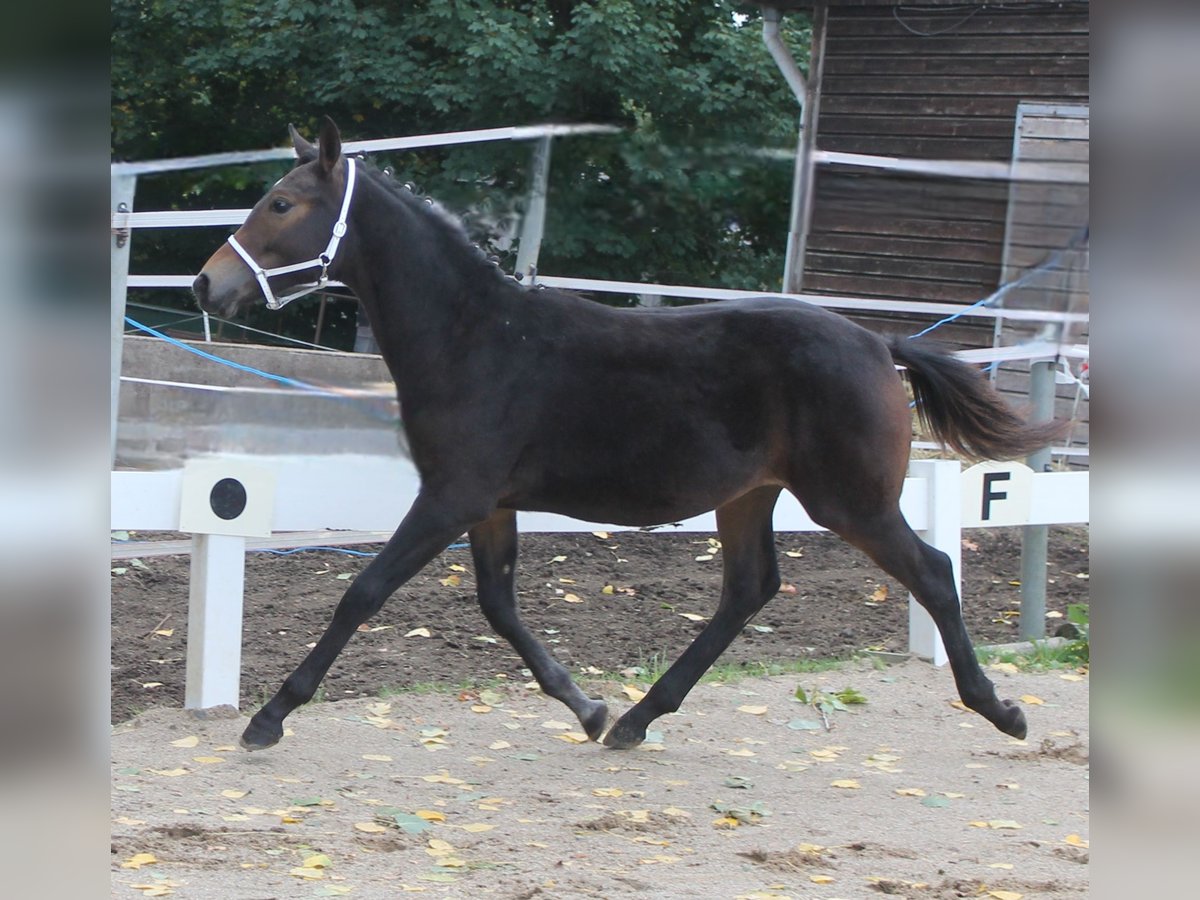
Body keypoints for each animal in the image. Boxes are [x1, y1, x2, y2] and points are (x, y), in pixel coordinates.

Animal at [194, 118, 1062, 753]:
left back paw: (1002, 710)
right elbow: (498, 605)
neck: (478, 337)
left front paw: (269, 717)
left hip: (852, 501)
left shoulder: (450, 496)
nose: (206, 283)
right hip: (750, 497)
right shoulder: (487, 503)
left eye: (280, 204)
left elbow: (364, 593)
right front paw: (588, 708)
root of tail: (880, 346)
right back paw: (640, 719)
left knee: (934, 572)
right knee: (749, 591)